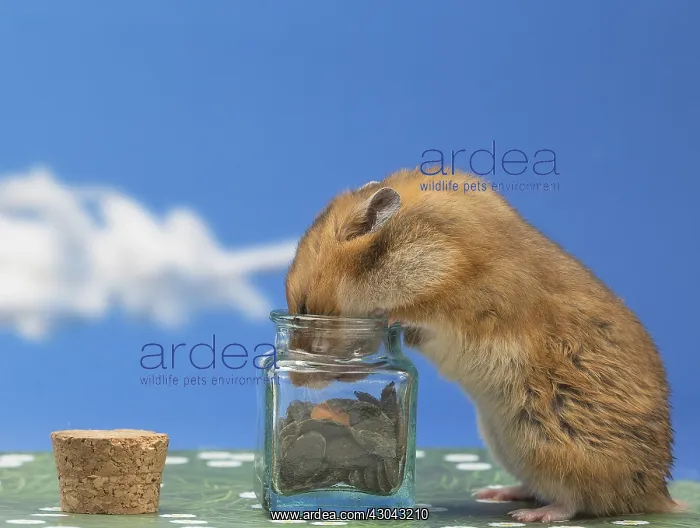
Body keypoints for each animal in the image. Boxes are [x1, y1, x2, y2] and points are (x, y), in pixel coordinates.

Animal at [284, 167, 682, 522]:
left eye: (304, 306)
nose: (297, 381)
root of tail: (657, 494)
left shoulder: (455, 299)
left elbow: (412, 318)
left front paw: (390, 319)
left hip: (553, 446)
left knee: (577, 500)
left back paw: (528, 514)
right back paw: (495, 494)